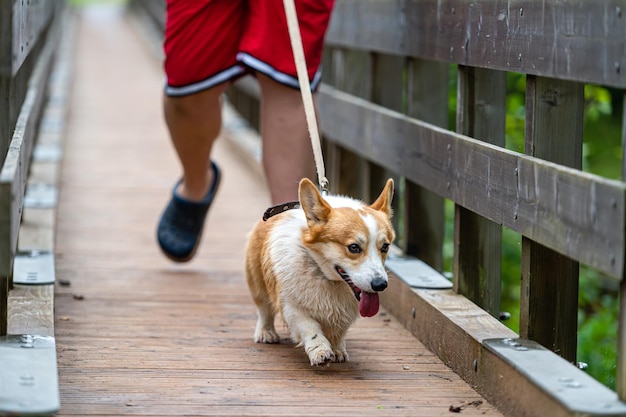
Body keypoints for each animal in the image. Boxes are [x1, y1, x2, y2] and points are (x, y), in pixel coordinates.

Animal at [245, 177, 394, 366]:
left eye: (385, 247)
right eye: (354, 247)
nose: (380, 284)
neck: (328, 278)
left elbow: (339, 332)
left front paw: (337, 350)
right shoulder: (291, 306)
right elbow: (310, 328)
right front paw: (320, 351)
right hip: (257, 283)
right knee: (264, 310)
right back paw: (266, 333)